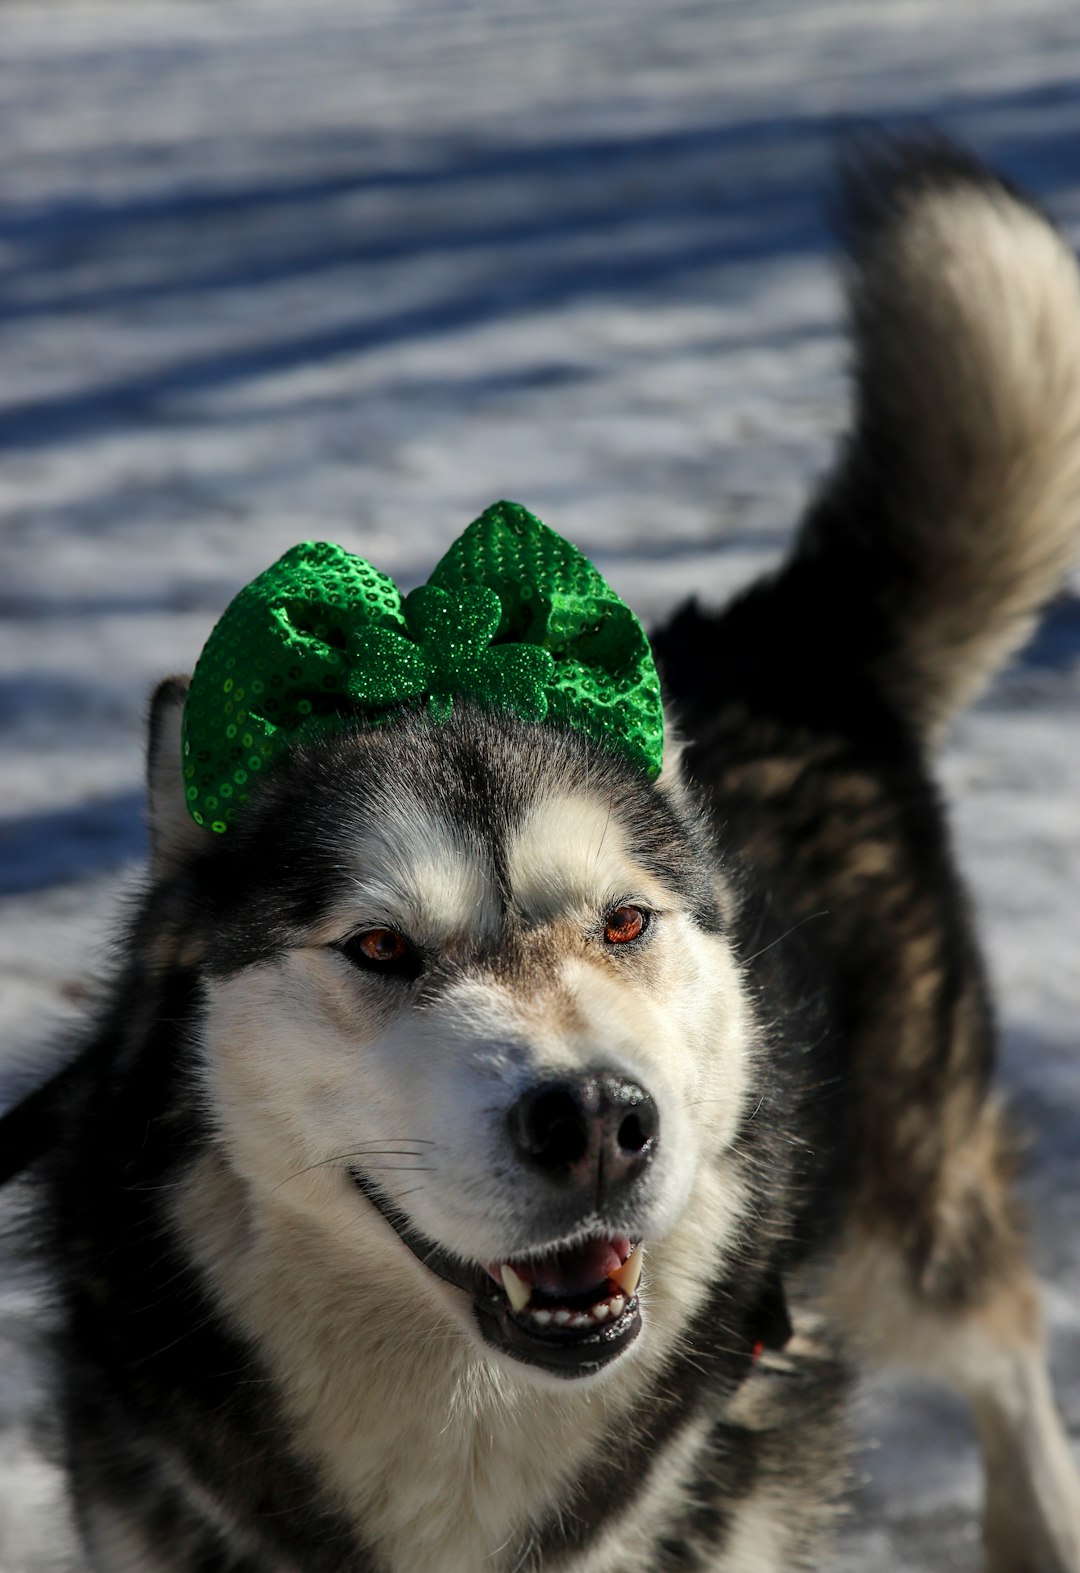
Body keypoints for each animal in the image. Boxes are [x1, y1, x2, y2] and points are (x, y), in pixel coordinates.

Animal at [2, 141, 1080, 1566]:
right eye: (379, 946)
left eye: (624, 923)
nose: (599, 1124)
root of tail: (775, 644)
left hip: (898, 1224)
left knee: (1000, 1329)